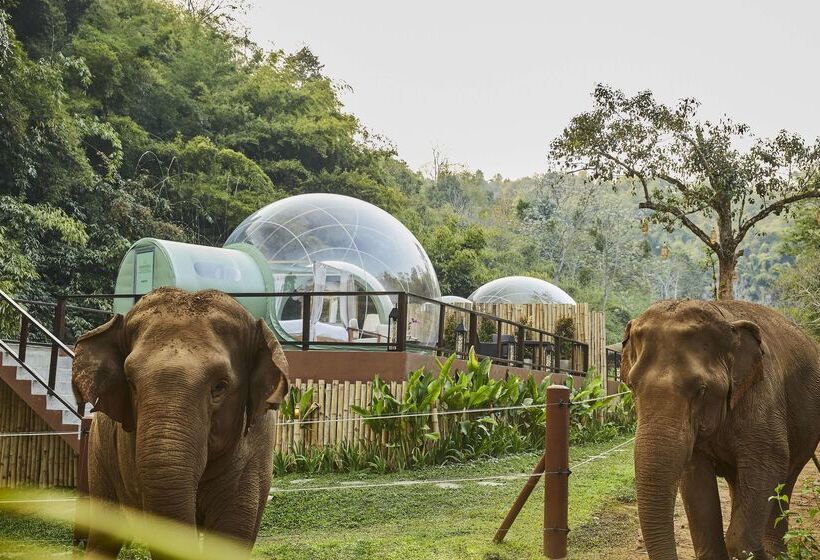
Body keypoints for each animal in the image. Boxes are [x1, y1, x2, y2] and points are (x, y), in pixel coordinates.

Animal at [71, 288, 289, 558]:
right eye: (131, 383)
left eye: (220, 386)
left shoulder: (256, 448)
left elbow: (231, 535)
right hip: (99, 453)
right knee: (105, 532)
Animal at [621, 300, 820, 560]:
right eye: (632, 386)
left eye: (701, 390)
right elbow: (695, 478)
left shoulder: (762, 396)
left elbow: (769, 460)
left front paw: (753, 551)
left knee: (786, 476)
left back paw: (776, 553)